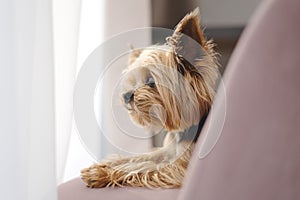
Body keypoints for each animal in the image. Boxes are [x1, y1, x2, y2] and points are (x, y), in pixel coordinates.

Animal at [81, 7, 219, 188]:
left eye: (151, 82)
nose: (126, 95)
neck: (183, 130)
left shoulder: (180, 168)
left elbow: (140, 167)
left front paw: (100, 173)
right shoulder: (167, 151)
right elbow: (139, 157)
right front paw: (106, 164)